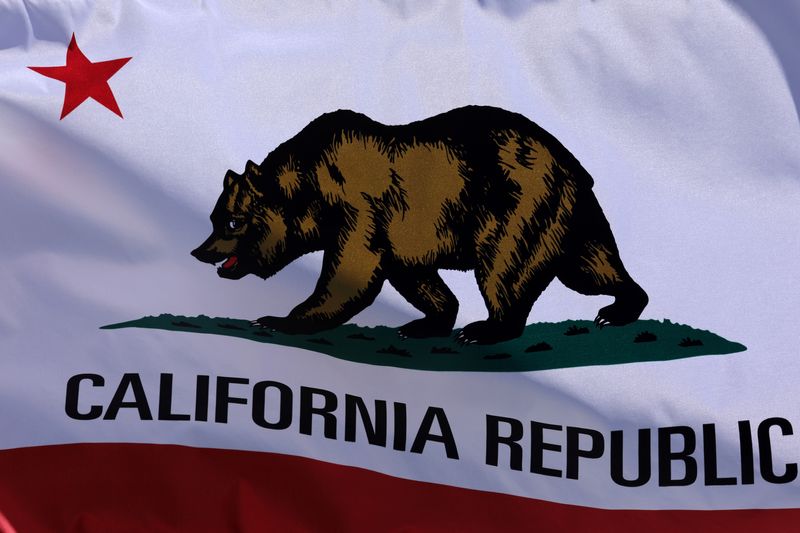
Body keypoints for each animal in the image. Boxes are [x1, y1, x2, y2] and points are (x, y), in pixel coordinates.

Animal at [194, 106, 648, 342]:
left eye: (233, 222)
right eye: (215, 218)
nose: (200, 251)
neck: (310, 187)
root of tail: (573, 164)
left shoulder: (359, 206)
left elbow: (350, 270)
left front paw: (277, 318)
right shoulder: (401, 233)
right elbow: (414, 277)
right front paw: (426, 321)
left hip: (519, 204)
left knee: (505, 269)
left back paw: (487, 328)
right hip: (571, 217)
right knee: (592, 265)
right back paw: (620, 306)